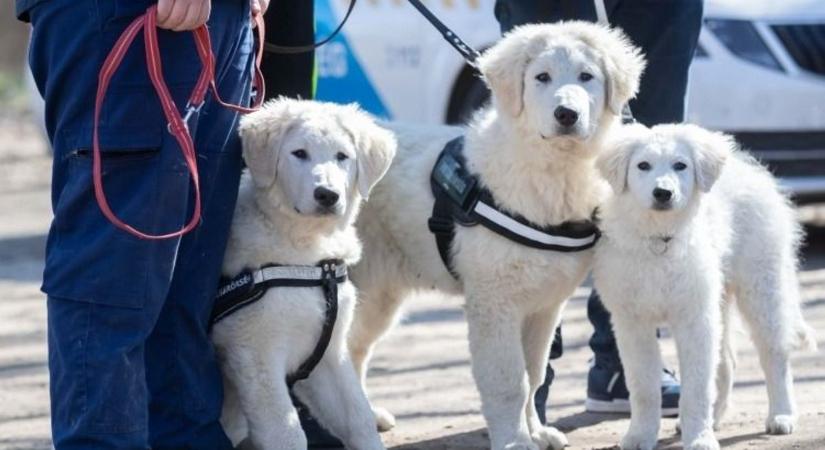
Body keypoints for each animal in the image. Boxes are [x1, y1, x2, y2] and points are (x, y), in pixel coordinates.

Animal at [211, 98, 394, 450]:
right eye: (299, 153)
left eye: (342, 156)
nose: (327, 195)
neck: (308, 255)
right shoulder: (255, 353)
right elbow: (287, 434)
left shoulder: (328, 353)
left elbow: (359, 418)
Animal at [346, 22, 644, 450]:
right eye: (542, 78)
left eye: (587, 76)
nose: (566, 114)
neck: (551, 174)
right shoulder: (494, 302)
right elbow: (508, 382)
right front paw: (515, 440)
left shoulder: (544, 304)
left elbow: (533, 375)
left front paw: (536, 432)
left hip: (377, 295)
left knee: (353, 348)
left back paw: (366, 417)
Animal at [592, 123, 816, 450]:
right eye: (642, 166)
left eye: (680, 165)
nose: (663, 193)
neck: (661, 239)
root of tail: (747, 167)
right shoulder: (633, 322)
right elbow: (643, 387)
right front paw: (640, 436)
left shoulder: (694, 319)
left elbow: (697, 387)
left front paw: (699, 438)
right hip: (720, 303)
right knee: (726, 363)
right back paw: (716, 417)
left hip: (762, 288)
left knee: (775, 356)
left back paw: (781, 415)